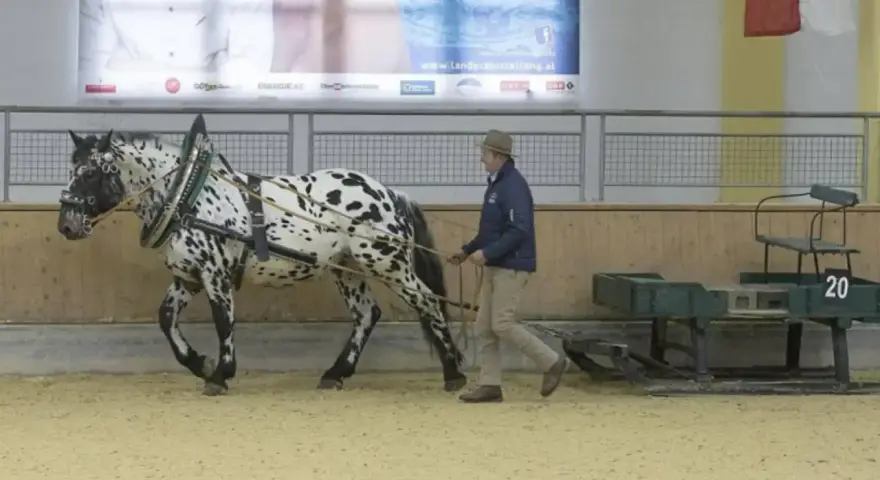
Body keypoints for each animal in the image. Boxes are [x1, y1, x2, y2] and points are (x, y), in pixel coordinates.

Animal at [56, 114, 468, 396]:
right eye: (71, 169)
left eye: (91, 173)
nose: (66, 225)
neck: (189, 195)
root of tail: (389, 192)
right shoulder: (188, 277)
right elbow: (166, 318)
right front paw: (200, 364)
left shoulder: (215, 274)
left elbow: (224, 322)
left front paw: (220, 375)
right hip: (347, 269)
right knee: (367, 314)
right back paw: (335, 374)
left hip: (388, 264)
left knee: (428, 303)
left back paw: (454, 373)